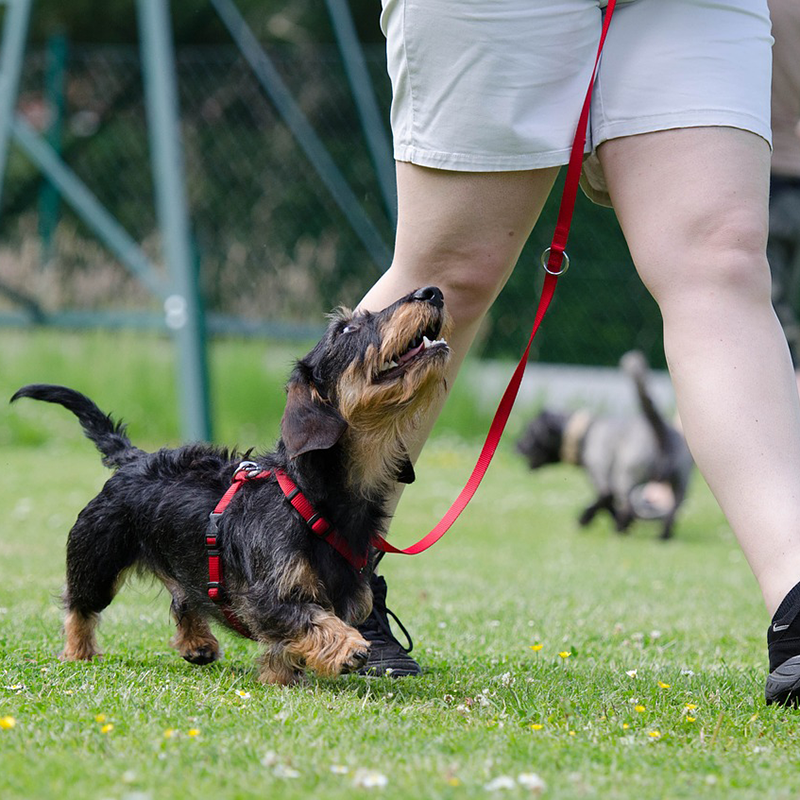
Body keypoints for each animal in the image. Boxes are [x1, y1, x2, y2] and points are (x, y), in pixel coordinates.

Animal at [9, 284, 450, 684]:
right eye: (346, 329)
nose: (431, 292)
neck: (311, 496)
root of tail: (134, 458)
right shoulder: (267, 597)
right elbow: (310, 620)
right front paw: (347, 646)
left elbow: (288, 643)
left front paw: (281, 676)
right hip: (96, 559)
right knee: (79, 606)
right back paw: (78, 651)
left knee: (184, 598)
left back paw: (197, 643)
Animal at [516, 354, 692, 540]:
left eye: (529, 433)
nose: (516, 446)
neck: (585, 432)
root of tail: (661, 430)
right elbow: (607, 504)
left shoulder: (602, 478)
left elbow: (604, 502)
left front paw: (585, 519)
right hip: (680, 484)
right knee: (672, 512)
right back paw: (663, 536)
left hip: (626, 478)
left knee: (628, 507)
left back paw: (619, 530)